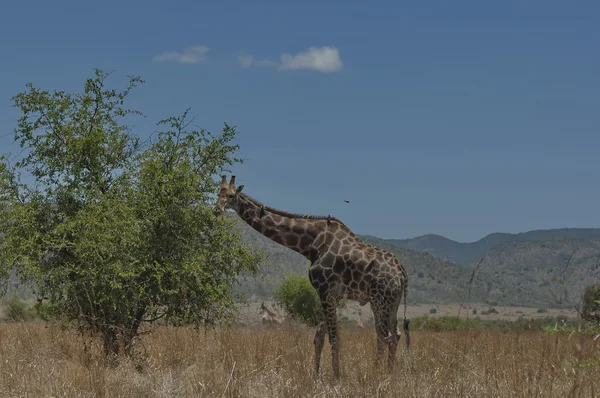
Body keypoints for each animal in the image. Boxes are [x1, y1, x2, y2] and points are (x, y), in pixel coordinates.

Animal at [213, 176, 410, 378]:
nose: (216, 210)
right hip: (392, 302)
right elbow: (319, 336)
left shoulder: (326, 290)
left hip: (379, 299)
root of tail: (401, 272)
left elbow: (333, 337)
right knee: (395, 334)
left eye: (230, 195)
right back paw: (389, 373)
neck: (310, 244)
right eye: (217, 193)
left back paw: (376, 373)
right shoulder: (329, 294)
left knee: (384, 336)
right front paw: (315, 375)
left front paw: (336, 377)